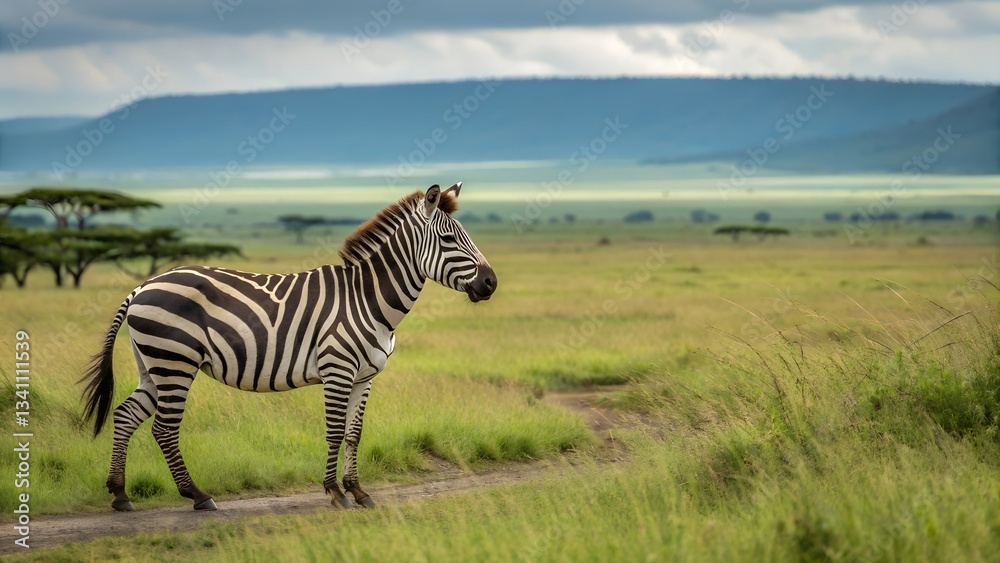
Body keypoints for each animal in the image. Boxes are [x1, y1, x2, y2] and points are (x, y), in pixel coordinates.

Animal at [80, 183, 497, 511]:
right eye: (449, 240)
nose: (491, 283)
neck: (367, 299)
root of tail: (143, 286)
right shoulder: (337, 369)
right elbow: (334, 431)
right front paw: (335, 493)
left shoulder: (365, 377)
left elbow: (354, 433)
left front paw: (359, 491)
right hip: (174, 362)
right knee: (164, 429)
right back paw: (197, 496)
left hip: (154, 365)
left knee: (126, 415)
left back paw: (120, 494)